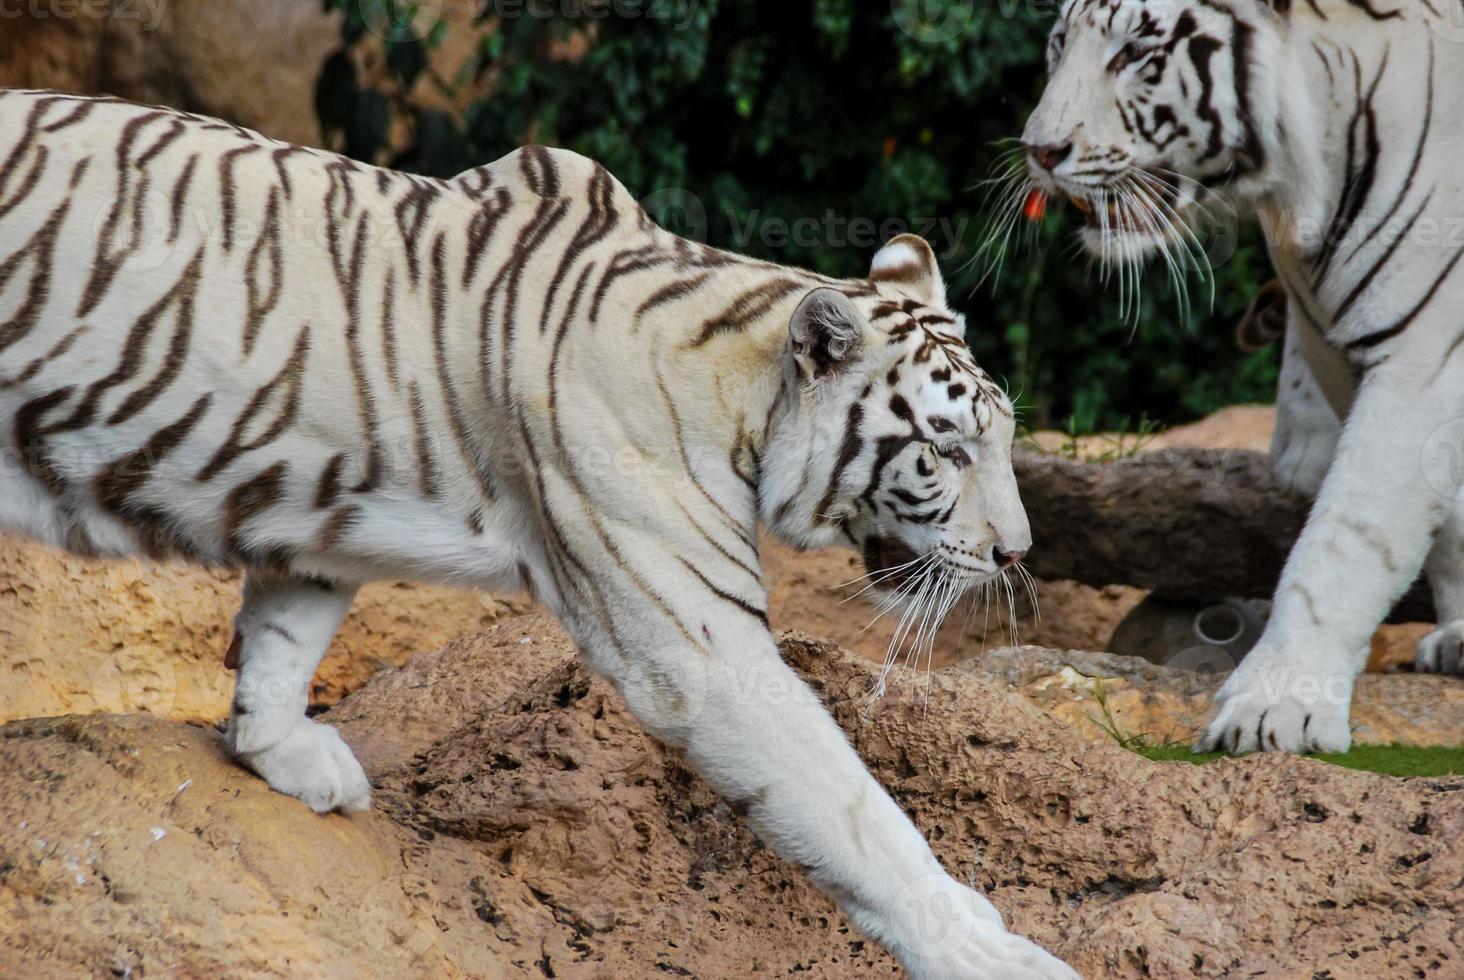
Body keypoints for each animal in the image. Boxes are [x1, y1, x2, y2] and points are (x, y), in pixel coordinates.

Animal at [0, 87, 1077, 972]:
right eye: (945, 450)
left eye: (1003, 435)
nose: (1017, 553)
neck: (742, 396)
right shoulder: (696, 644)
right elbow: (855, 812)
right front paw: (994, 954)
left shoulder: (319, 494)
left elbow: (286, 629)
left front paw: (283, 752)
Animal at [1013, 0, 1464, 755]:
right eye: (1057, 43)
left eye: (1136, 53)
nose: (1039, 152)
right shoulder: (1342, 348)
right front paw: (1457, 633)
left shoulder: (1423, 353)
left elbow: (1347, 537)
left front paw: (1275, 710)